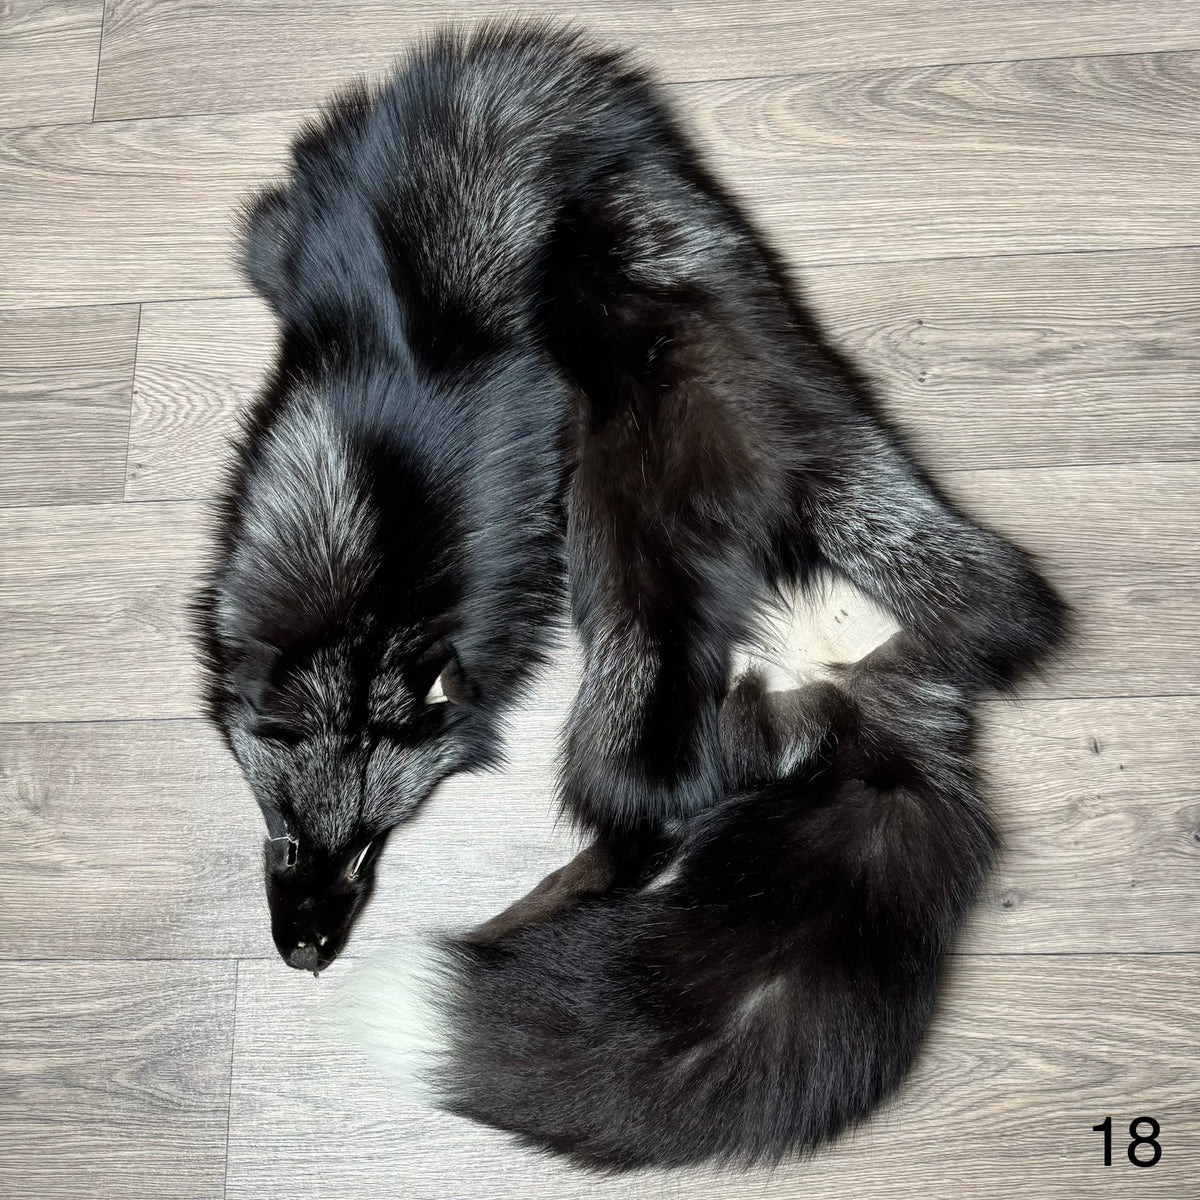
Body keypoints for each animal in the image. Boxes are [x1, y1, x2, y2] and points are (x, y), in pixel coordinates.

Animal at [196, 22, 1067, 1164]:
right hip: (912, 545)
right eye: (293, 840)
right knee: (994, 610)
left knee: (640, 829)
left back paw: (501, 926)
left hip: (625, 702)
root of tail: (867, 709)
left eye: (369, 849)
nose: (304, 957)